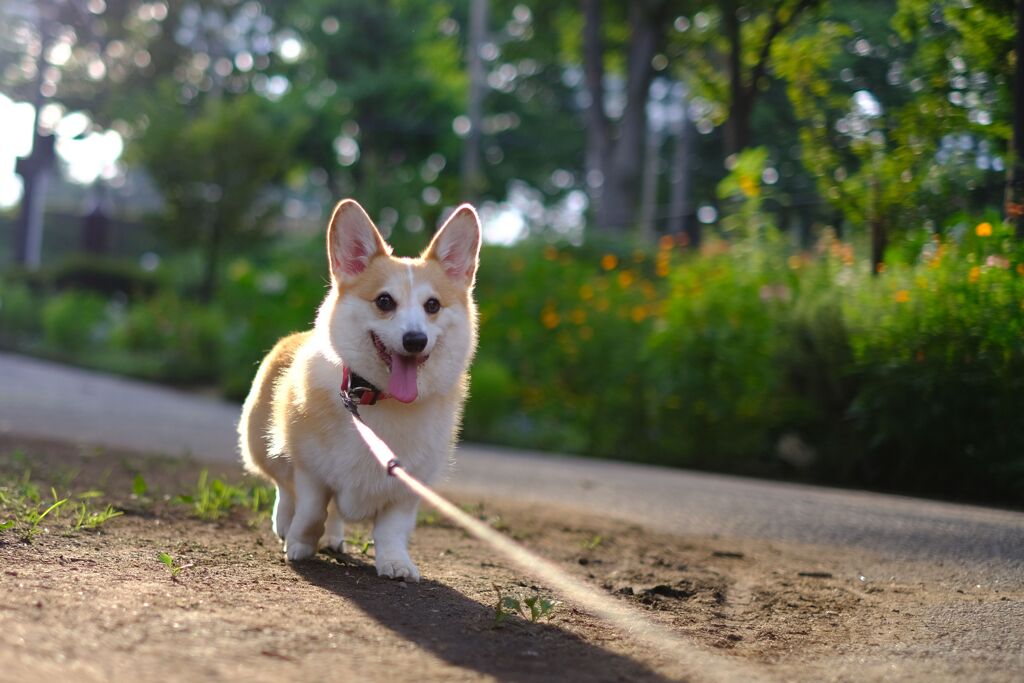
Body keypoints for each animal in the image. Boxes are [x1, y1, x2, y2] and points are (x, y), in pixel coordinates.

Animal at [238, 197, 479, 581]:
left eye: (432, 305)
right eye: (384, 302)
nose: (415, 340)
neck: (377, 398)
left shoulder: (406, 487)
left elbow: (391, 530)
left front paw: (396, 563)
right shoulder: (312, 472)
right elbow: (311, 509)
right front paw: (300, 544)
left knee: (334, 514)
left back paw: (332, 538)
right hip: (262, 445)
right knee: (284, 486)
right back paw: (285, 524)